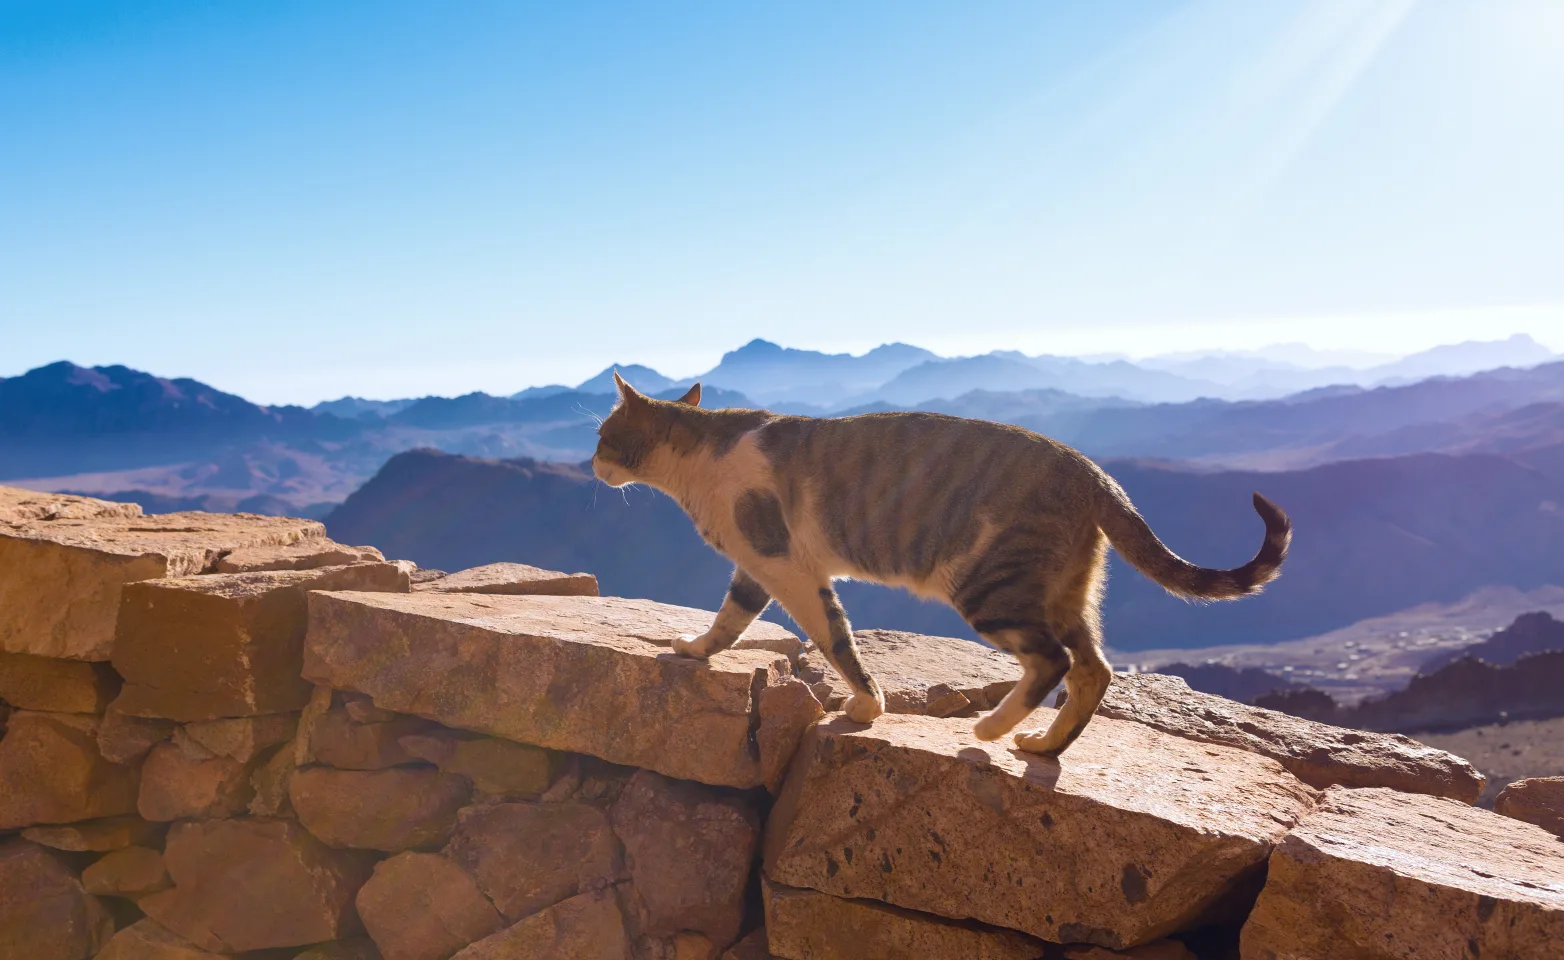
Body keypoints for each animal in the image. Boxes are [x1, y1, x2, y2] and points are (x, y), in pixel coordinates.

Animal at [591, 376, 1288, 759]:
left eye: (601, 435)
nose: (592, 463)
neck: (698, 463)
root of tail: (1092, 472)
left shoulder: (784, 563)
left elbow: (835, 640)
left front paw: (866, 705)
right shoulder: (759, 566)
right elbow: (730, 620)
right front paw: (694, 650)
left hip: (988, 583)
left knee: (1053, 662)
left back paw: (990, 727)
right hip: (1064, 590)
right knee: (1094, 668)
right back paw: (1043, 746)